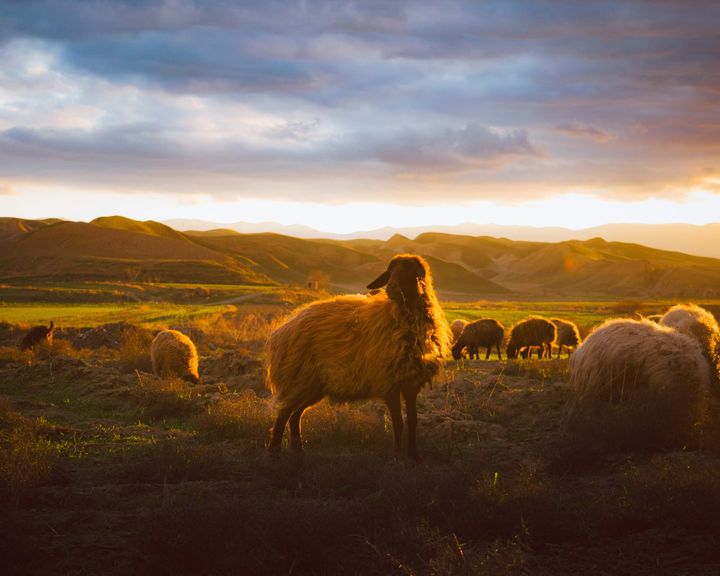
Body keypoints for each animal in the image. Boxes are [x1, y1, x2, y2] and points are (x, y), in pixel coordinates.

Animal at [265, 254, 450, 461]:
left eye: (409, 270)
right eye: (390, 272)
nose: (391, 290)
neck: (400, 316)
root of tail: (283, 329)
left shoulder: (411, 383)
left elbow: (412, 421)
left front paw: (415, 457)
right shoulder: (389, 383)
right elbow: (398, 422)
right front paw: (397, 456)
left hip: (313, 385)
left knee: (295, 414)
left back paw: (298, 450)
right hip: (299, 378)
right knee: (283, 413)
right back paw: (274, 453)